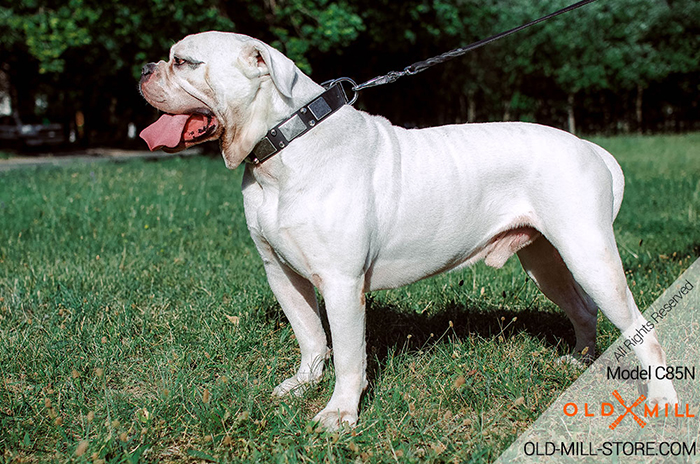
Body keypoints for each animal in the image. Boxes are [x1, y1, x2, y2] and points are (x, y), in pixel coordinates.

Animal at [138, 30, 680, 430]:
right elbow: (310, 336)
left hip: (588, 253)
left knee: (642, 330)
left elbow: (348, 355)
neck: (283, 144)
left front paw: (340, 413)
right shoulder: (281, 273)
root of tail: (591, 148)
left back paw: (661, 400)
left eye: (184, 62)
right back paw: (578, 364)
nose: (144, 69)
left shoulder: (341, 283)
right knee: (582, 308)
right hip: (545, 259)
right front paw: (303, 384)